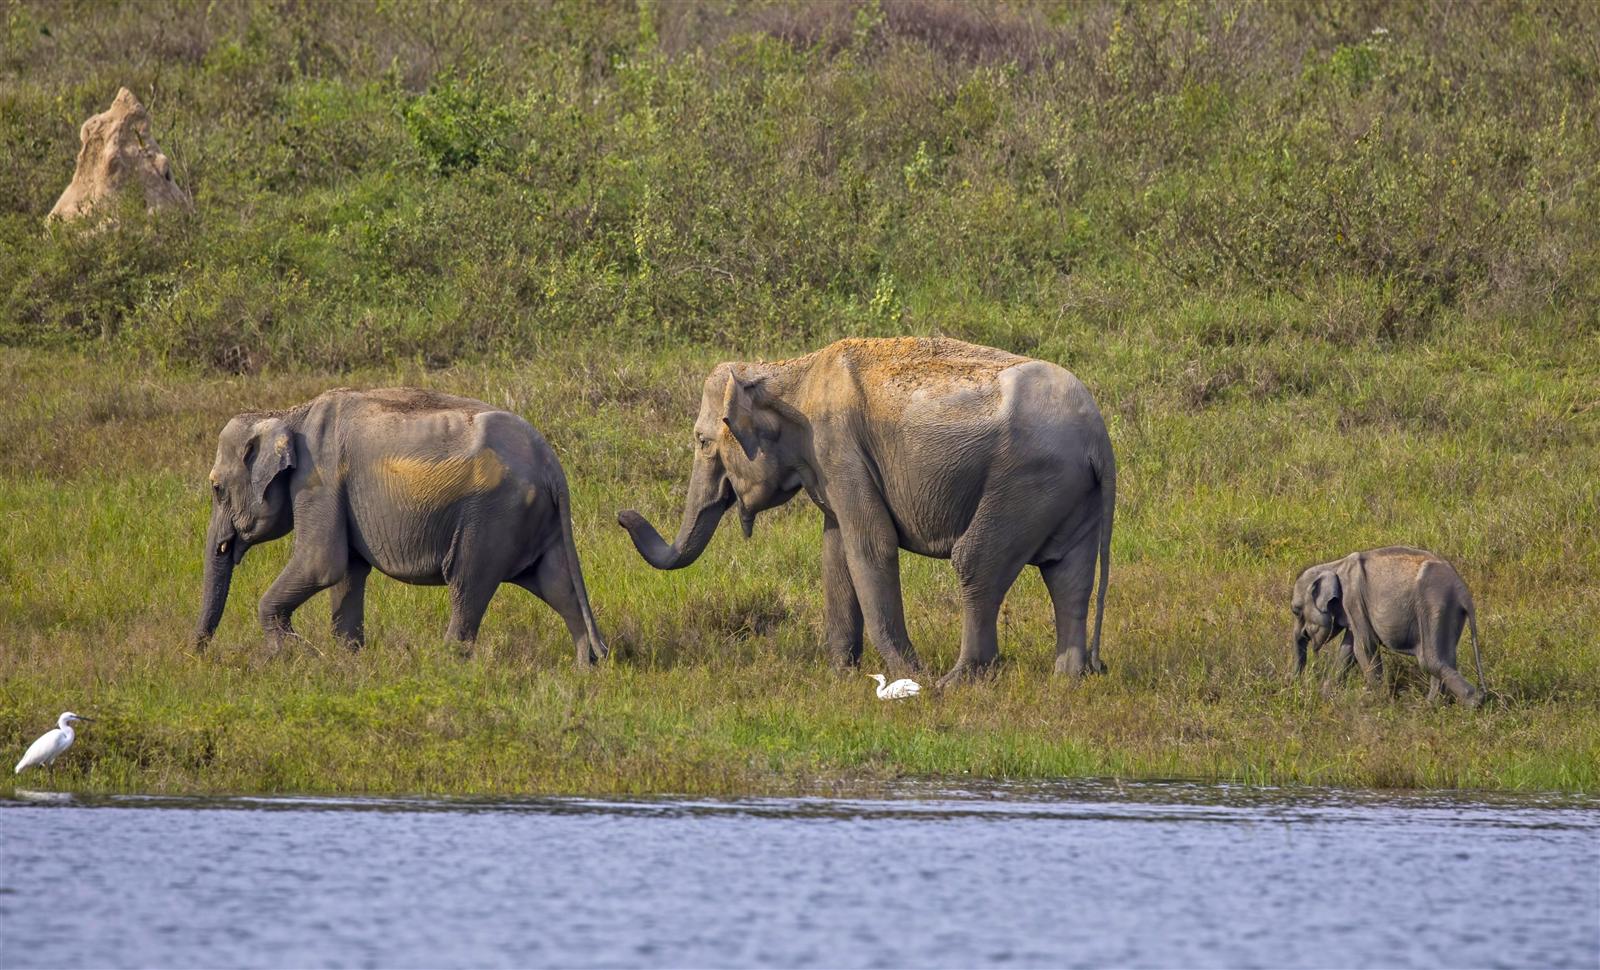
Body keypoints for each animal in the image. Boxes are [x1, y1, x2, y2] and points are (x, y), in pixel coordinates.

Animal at [195, 387, 605, 664]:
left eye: (216, 488)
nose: (198, 655)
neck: (290, 413)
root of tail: (551, 463)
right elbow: (347, 573)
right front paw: (346, 661)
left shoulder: (319, 480)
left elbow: (321, 563)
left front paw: (297, 656)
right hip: (533, 519)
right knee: (558, 586)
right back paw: (586, 668)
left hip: (493, 517)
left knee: (468, 583)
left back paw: (444, 667)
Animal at [617, 336, 1115, 686]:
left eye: (702, 441)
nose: (622, 515)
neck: (787, 370)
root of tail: (1099, 438)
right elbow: (834, 551)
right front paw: (840, 675)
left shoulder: (838, 447)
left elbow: (870, 546)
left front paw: (910, 678)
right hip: (1068, 492)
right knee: (1068, 575)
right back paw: (1067, 678)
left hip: (1026, 481)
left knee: (976, 562)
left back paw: (955, 682)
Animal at [1290, 546, 1485, 706]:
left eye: (1296, 611)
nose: (1294, 687)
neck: (1334, 565)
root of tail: (1462, 591)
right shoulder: (1355, 610)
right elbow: (1348, 650)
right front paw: (1326, 696)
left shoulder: (1353, 600)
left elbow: (1363, 647)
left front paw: (1378, 701)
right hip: (1449, 612)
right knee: (1444, 658)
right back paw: (1433, 706)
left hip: (1434, 606)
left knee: (1430, 660)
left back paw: (1473, 704)